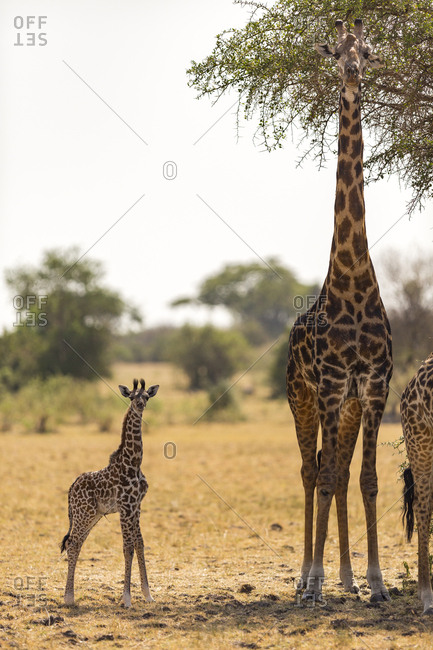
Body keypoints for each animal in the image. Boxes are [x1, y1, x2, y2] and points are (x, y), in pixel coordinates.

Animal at [60, 378, 159, 607]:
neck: (133, 463)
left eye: (146, 396)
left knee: (76, 543)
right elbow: (127, 548)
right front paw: (127, 599)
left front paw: (148, 595)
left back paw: (70, 596)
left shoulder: (136, 506)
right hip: (83, 514)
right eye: (131, 396)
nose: (140, 405)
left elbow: (139, 544)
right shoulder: (125, 507)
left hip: (93, 516)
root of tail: (71, 488)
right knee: (72, 543)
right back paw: (69, 598)